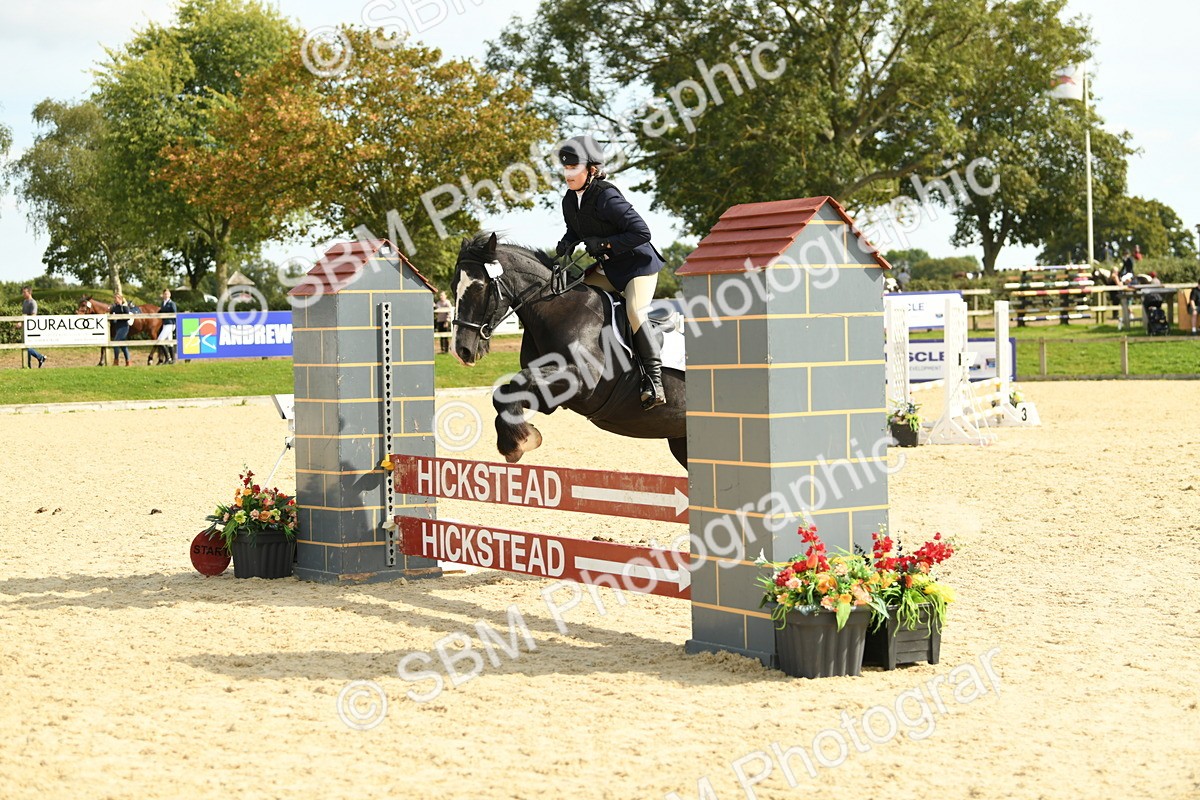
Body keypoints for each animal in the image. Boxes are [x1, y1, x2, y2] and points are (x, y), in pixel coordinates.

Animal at [451, 233, 688, 468]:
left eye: (479, 286)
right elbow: (503, 394)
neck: (554, 309)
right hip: (680, 441)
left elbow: (521, 379)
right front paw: (518, 441)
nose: (460, 351)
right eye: (454, 286)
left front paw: (521, 442)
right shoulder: (551, 397)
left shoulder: (583, 383)